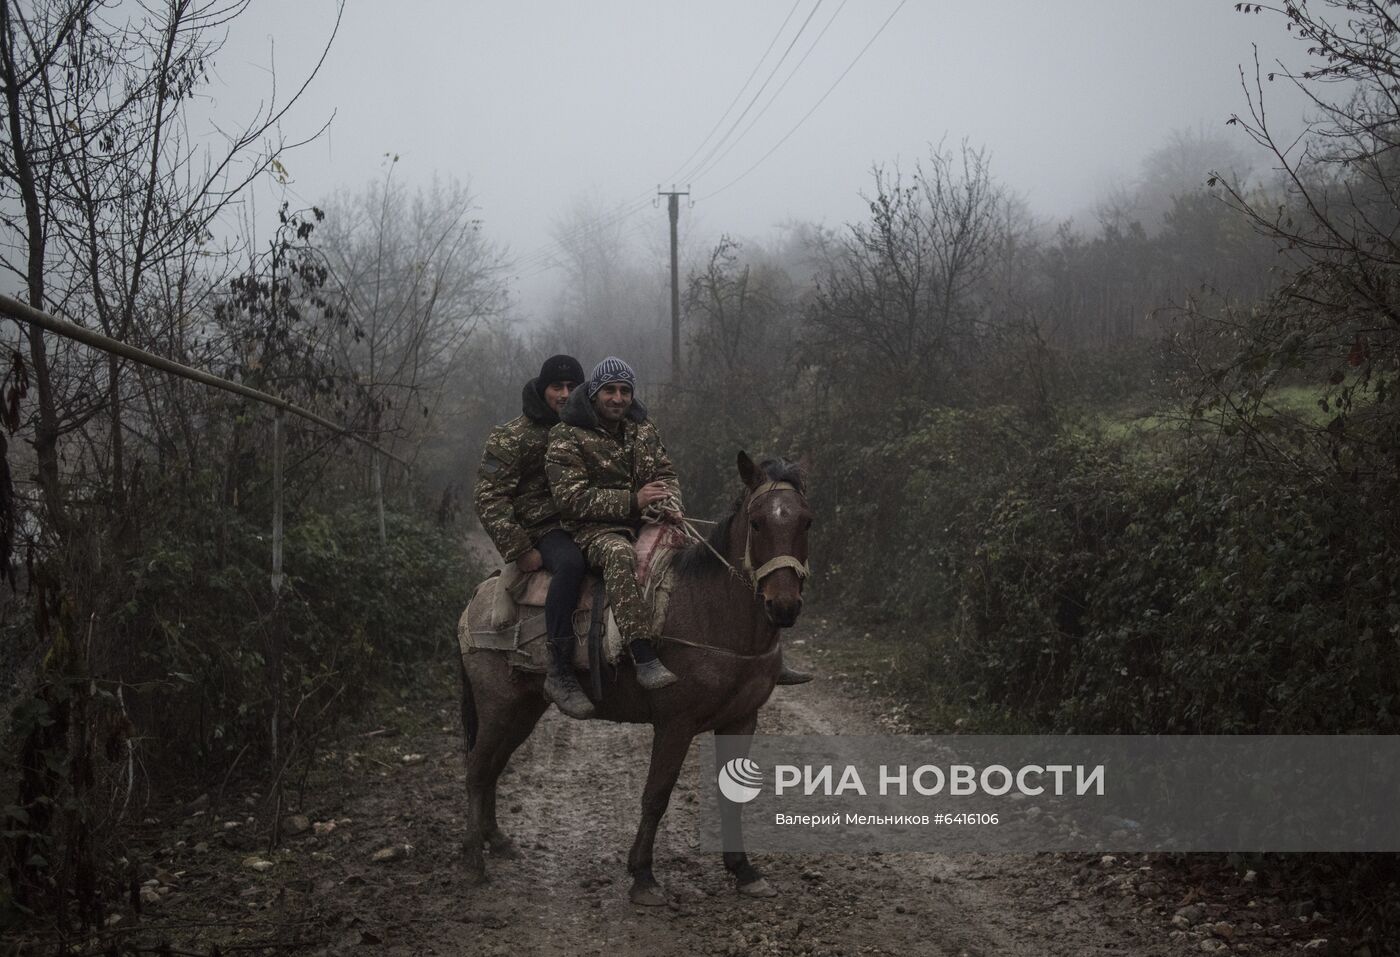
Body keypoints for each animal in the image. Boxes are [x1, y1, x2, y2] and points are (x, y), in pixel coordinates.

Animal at [459, 453, 812, 901]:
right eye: (757, 523)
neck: (712, 614)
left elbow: (732, 795)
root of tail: (477, 598)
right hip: (497, 705)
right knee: (476, 770)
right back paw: (474, 860)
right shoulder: (675, 724)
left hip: (523, 708)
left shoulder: (741, 719)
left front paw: (744, 870)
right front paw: (643, 875)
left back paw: (497, 841)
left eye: (806, 522)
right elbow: (656, 795)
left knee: (493, 766)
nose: (782, 606)